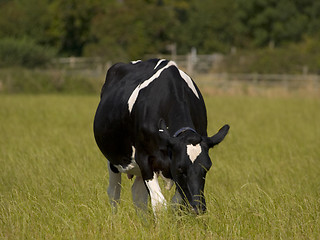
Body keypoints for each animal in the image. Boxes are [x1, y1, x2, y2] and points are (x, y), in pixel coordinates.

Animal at [93, 58, 230, 216]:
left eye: (206, 168)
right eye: (180, 168)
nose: (198, 208)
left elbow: (175, 203)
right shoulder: (145, 159)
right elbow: (159, 204)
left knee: (138, 195)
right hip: (113, 160)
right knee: (114, 193)